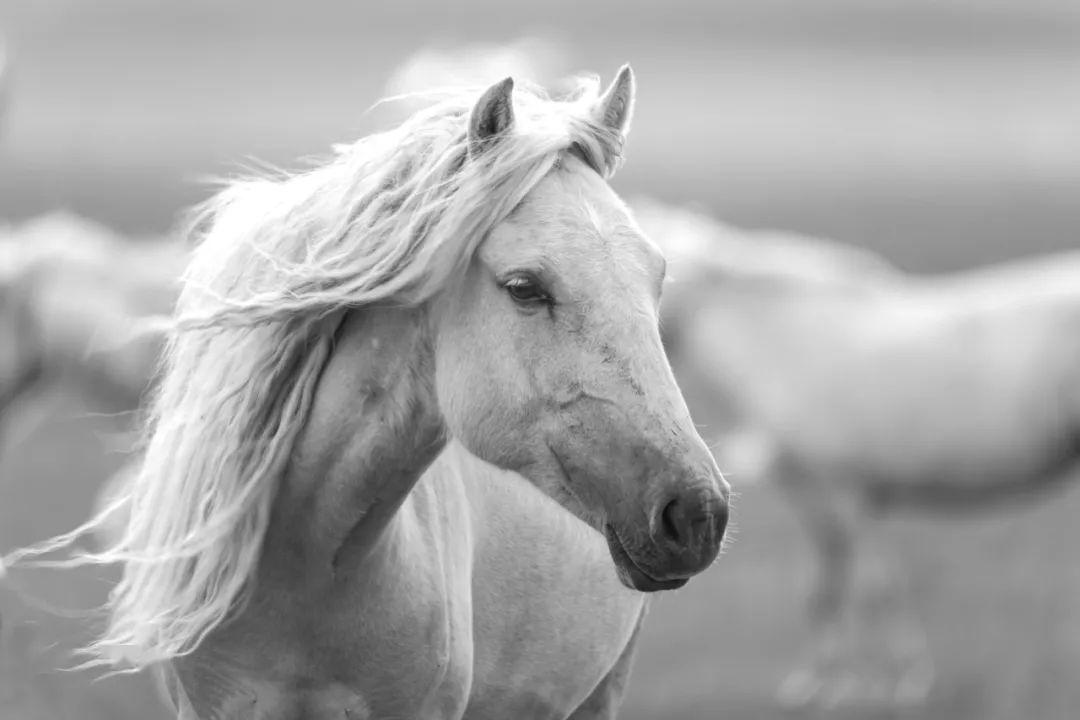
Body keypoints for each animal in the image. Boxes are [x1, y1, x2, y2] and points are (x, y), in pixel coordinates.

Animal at [635, 199, 1080, 712]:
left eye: (661, 275)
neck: (784, 345)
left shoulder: (850, 492)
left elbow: (875, 589)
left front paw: (906, 680)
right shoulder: (814, 494)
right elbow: (824, 587)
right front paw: (819, 683)